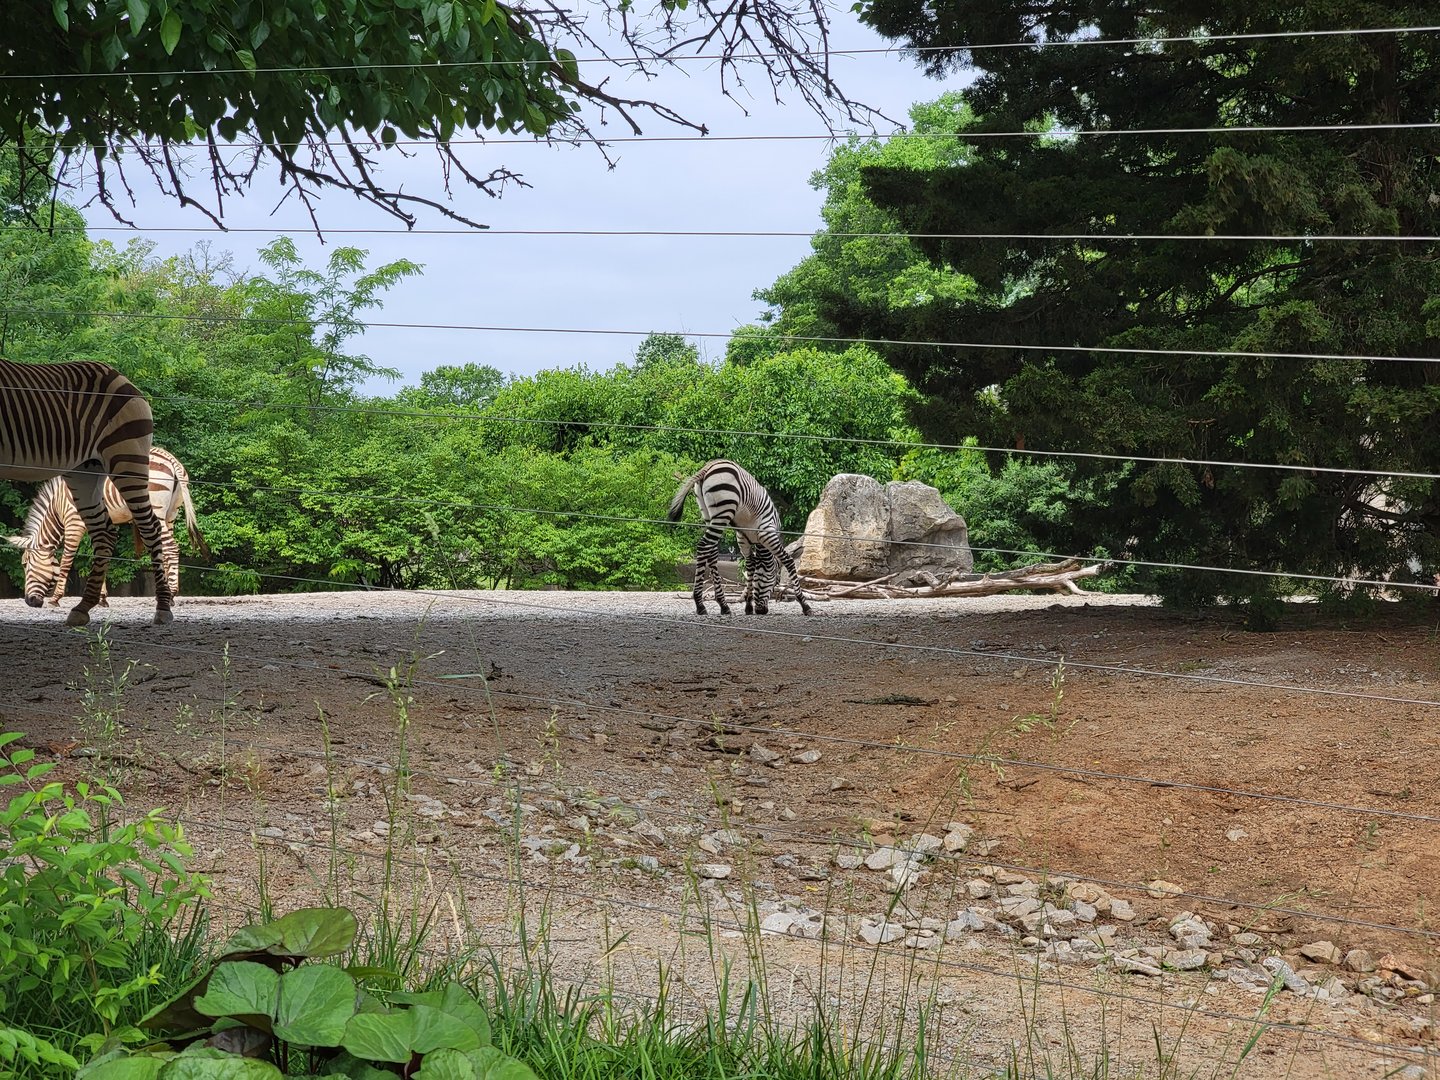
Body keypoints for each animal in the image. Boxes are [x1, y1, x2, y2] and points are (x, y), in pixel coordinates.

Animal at [7, 446, 209, 606]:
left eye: (25, 564)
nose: (29, 601)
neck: (58, 504)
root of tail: (170, 459)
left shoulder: (74, 522)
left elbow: (66, 559)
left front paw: (56, 598)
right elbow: (99, 555)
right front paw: (102, 598)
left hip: (156, 511)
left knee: (171, 548)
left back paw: (172, 594)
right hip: (170, 514)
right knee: (166, 550)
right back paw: (165, 594)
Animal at [667, 459, 812, 616]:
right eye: (774, 583)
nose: (761, 611)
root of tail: (708, 467)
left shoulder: (743, 541)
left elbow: (750, 567)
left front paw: (748, 606)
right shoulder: (768, 535)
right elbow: (788, 561)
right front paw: (805, 605)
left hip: (708, 515)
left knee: (711, 552)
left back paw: (723, 605)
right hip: (723, 512)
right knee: (704, 546)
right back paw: (700, 605)